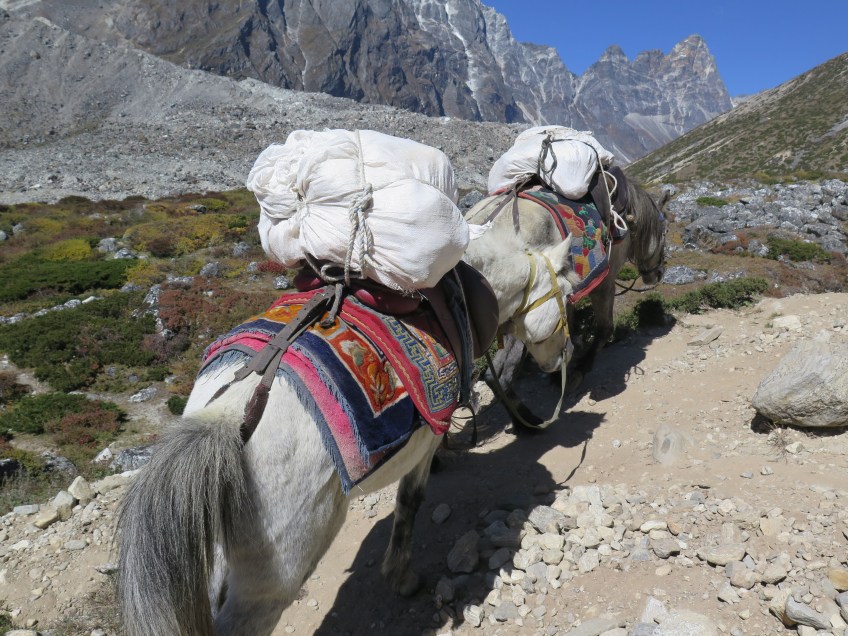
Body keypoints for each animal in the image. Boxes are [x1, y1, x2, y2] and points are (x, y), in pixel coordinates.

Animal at [115, 221, 576, 635]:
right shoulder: (422, 446)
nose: (563, 358)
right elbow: (410, 502)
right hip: (275, 575)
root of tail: (229, 421)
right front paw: (402, 577)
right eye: (569, 296)